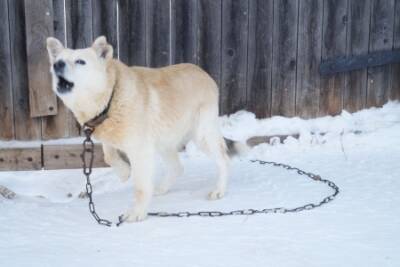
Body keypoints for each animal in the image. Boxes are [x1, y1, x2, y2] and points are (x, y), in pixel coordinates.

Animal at [47, 36, 241, 222]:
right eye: (57, 60)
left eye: (80, 61)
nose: (57, 65)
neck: (110, 99)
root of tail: (204, 73)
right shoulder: (109, 137)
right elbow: (109, 156)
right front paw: (124, 173)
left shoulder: (140, 151)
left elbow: (140, 187)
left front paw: (137, 213)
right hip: (164, 140)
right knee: (177, 167)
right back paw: (161, 188)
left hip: (202, 135)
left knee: (224, 160)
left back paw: (219, 190)